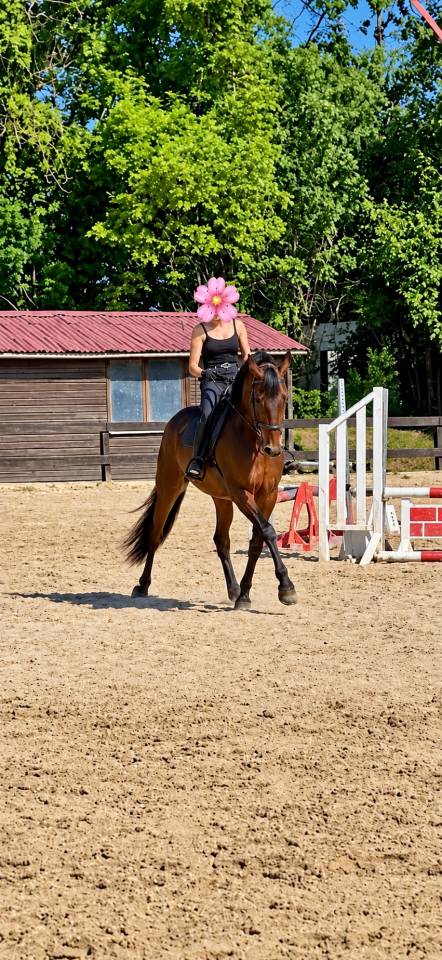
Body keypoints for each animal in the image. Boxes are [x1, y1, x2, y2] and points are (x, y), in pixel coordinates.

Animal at [124, 350, 297, 610]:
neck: (253, 442)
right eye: (258, 399)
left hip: (221, 498)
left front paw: (245, 595)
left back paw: (234, 590)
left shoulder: (268, 494)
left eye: (284, 397)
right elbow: (267, 531)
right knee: (155, 534)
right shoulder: (241, 493)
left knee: (221, 541)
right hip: (170, 488)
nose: (273, 449)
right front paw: (286, 587)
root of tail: (176, 420)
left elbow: (258, 540)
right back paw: (142, 585)